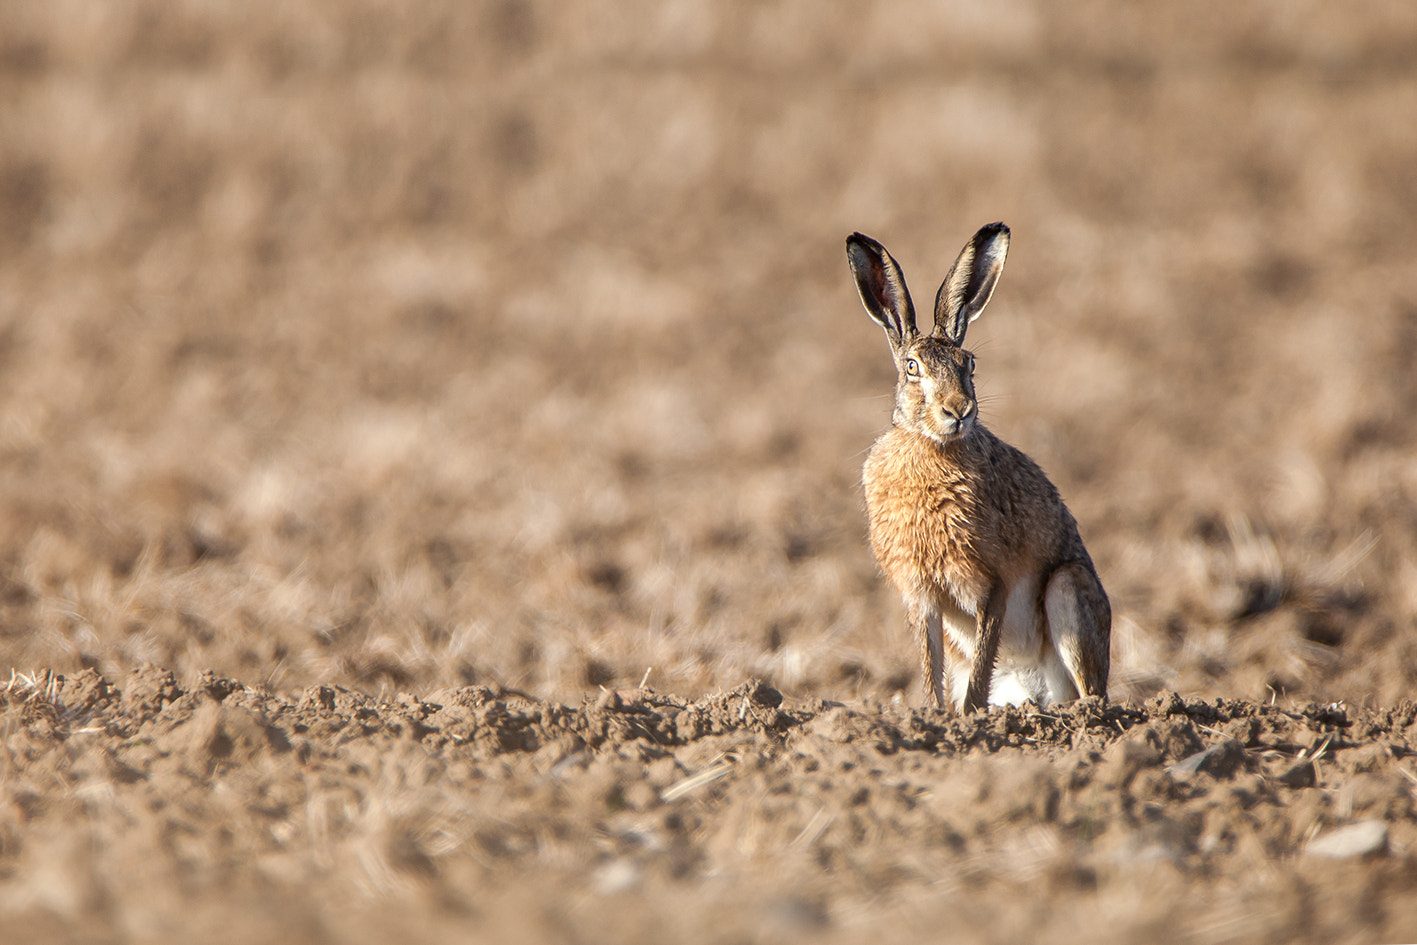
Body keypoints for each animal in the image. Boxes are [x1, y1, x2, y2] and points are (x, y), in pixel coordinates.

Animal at [846, 223, 1110, 713]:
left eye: (969, 364)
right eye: (912, 367)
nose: (959, 411)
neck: (931, 446)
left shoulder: (992, 585)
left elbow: (982, 661)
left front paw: (967, 718)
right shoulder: (923, 598)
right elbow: (932, 670)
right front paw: (936, 716)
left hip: (1067, 590)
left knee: (1091, 690)